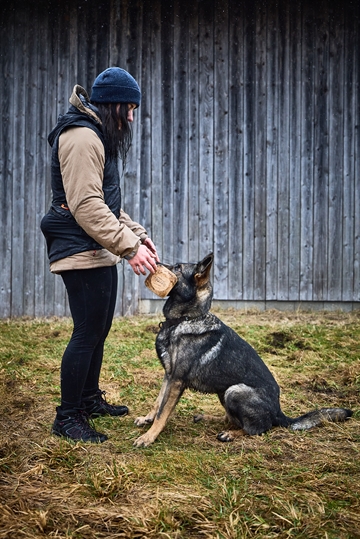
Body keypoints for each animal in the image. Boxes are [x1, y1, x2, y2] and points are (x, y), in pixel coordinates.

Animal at [133, 253, 352, 448]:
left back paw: (231, 434)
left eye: (178, 267)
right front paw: (147, 419)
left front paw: (149, 437)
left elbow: (163, 412)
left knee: (259, 428)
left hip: (234, 391)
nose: (154, 262)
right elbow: (157, 402)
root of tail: (279, 413)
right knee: (232, 419)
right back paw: (207, 418)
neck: (186, 319)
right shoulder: (169, 375)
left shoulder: (177, 380)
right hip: (224, 392)